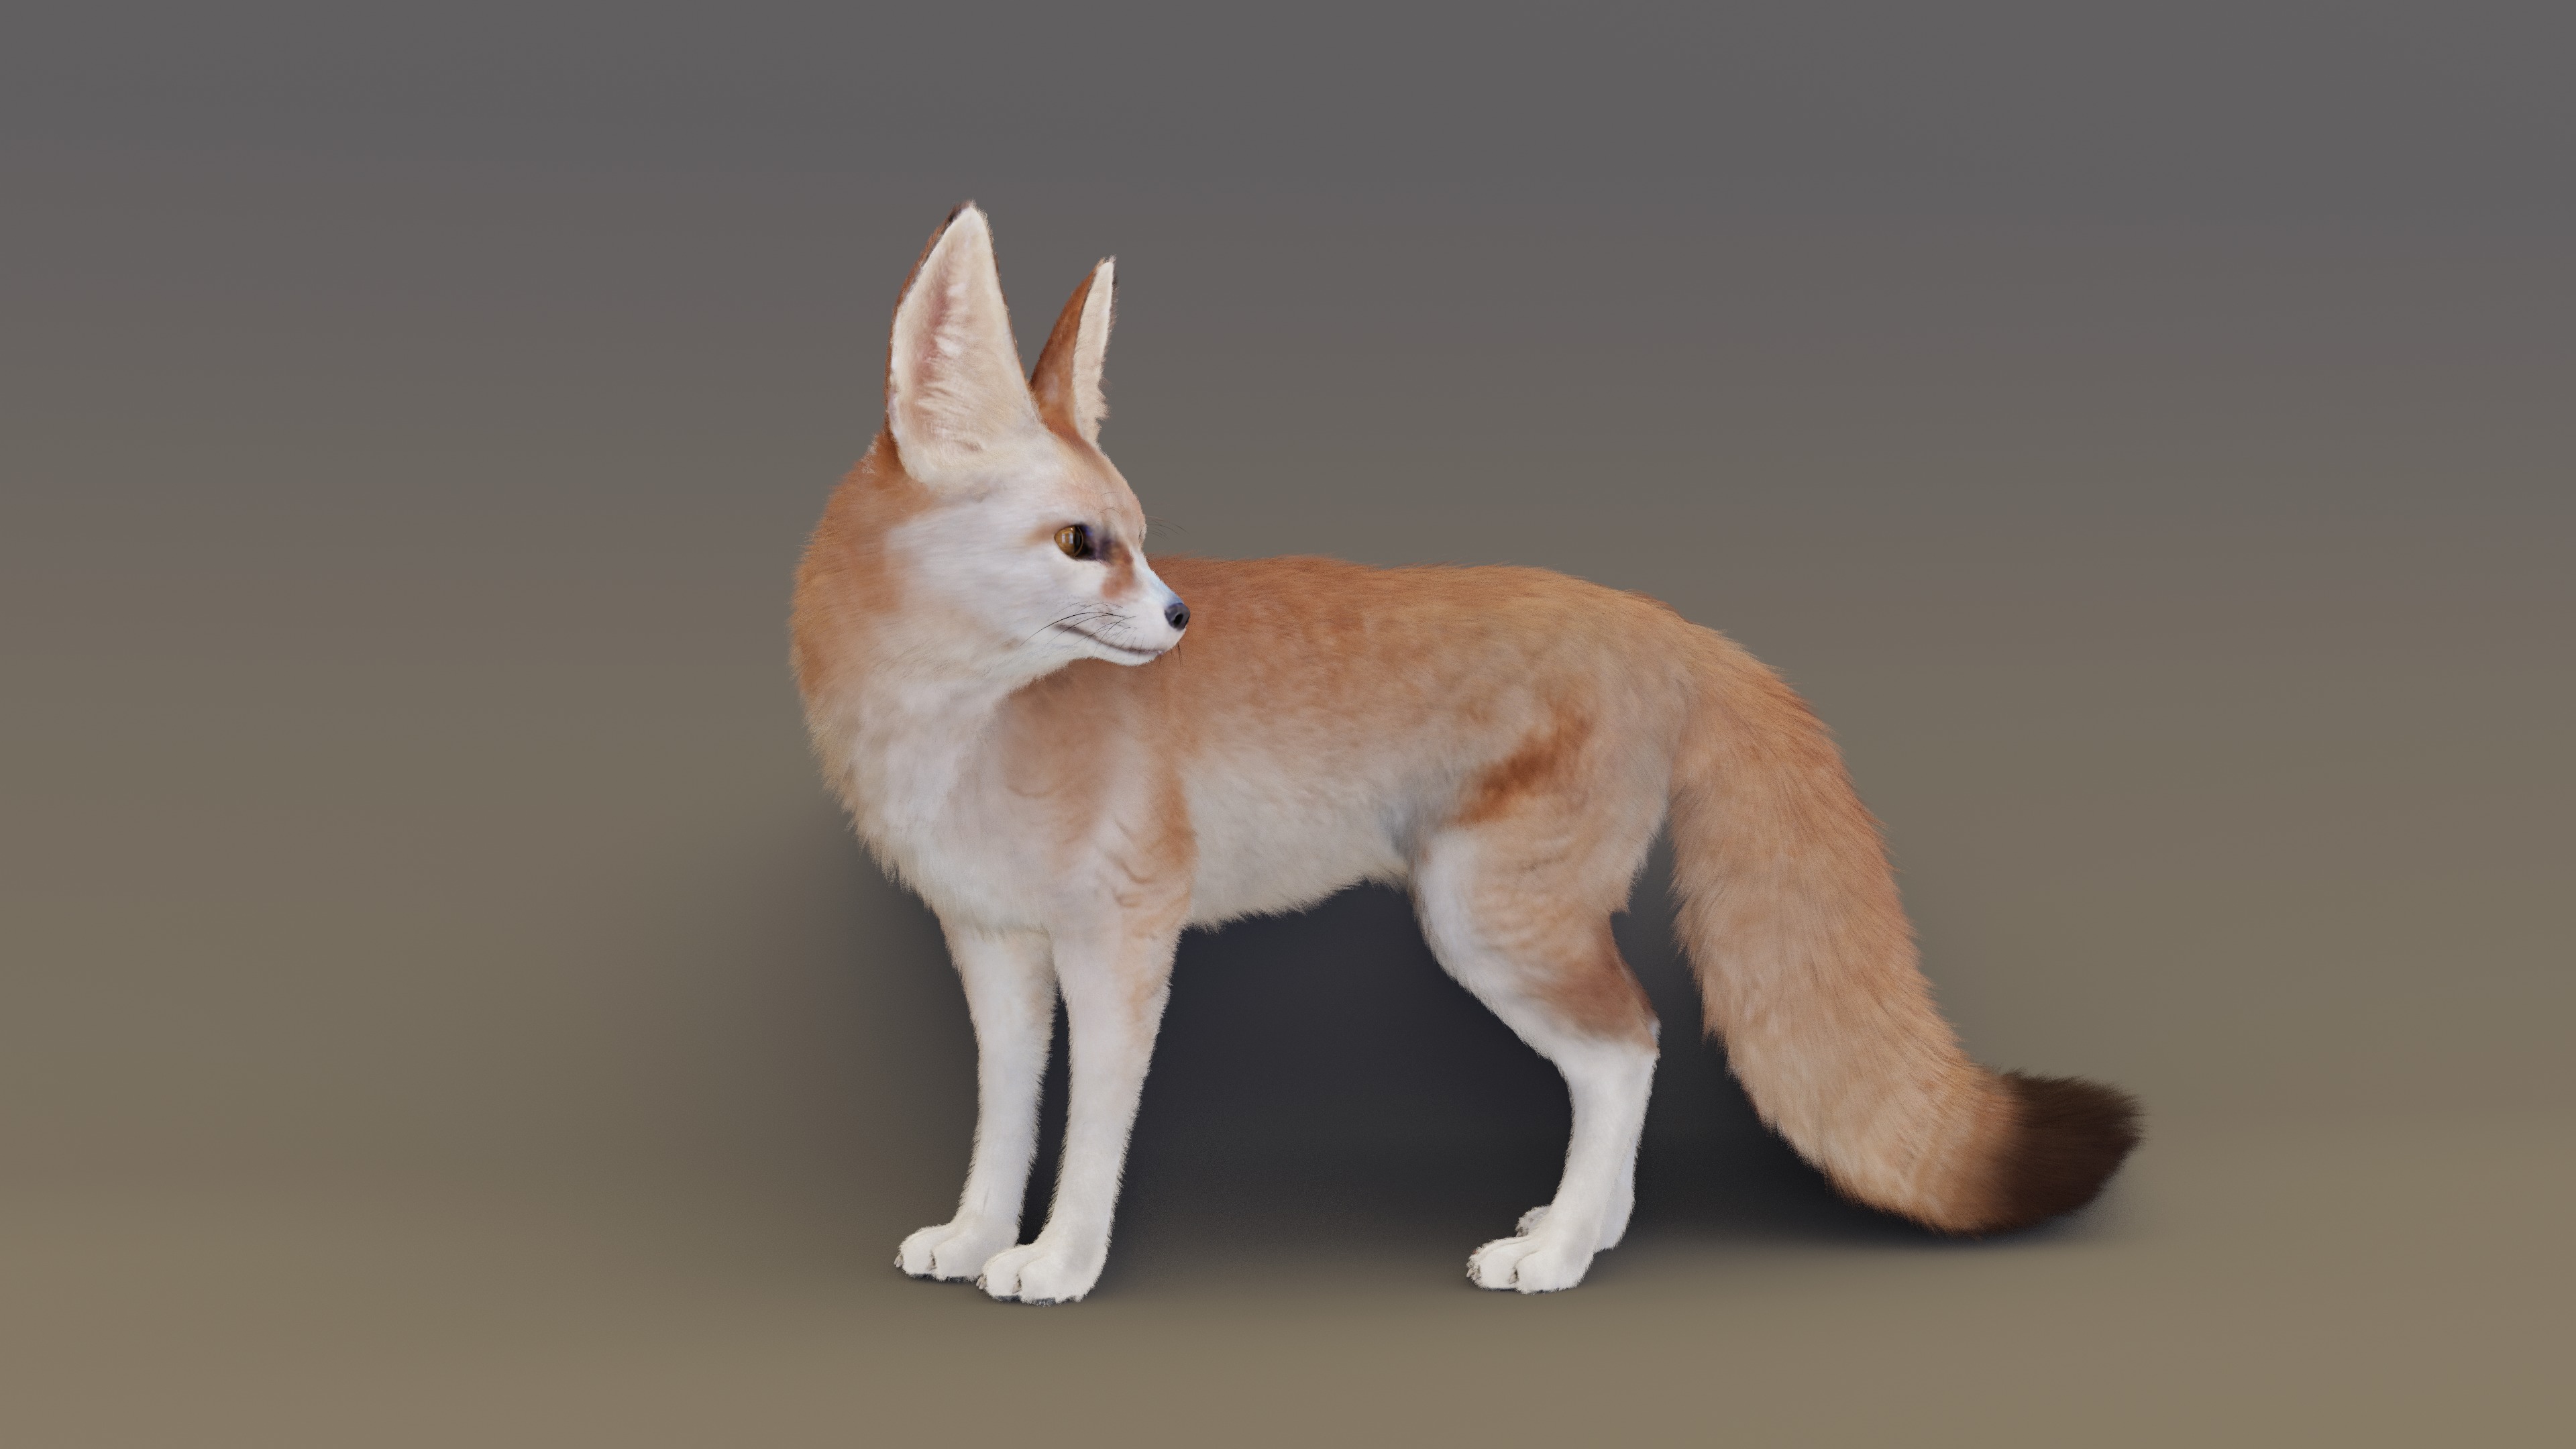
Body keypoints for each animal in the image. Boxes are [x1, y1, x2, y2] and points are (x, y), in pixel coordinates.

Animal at [790, 204, 2141, 1304]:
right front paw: (977, 1238)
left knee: (1630, 1048)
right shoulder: (995, 945)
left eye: (1138, 538)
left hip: (1482, 920)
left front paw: (1062, 1261)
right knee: (1622, 1059)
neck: (952, 737)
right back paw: (1588, 1228)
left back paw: (1562, 1254)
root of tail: (1670, 622)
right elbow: (1006, 1119)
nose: (1179, 619)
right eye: (1085, 544)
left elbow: (1092, 1136)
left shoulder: (1125, 941)